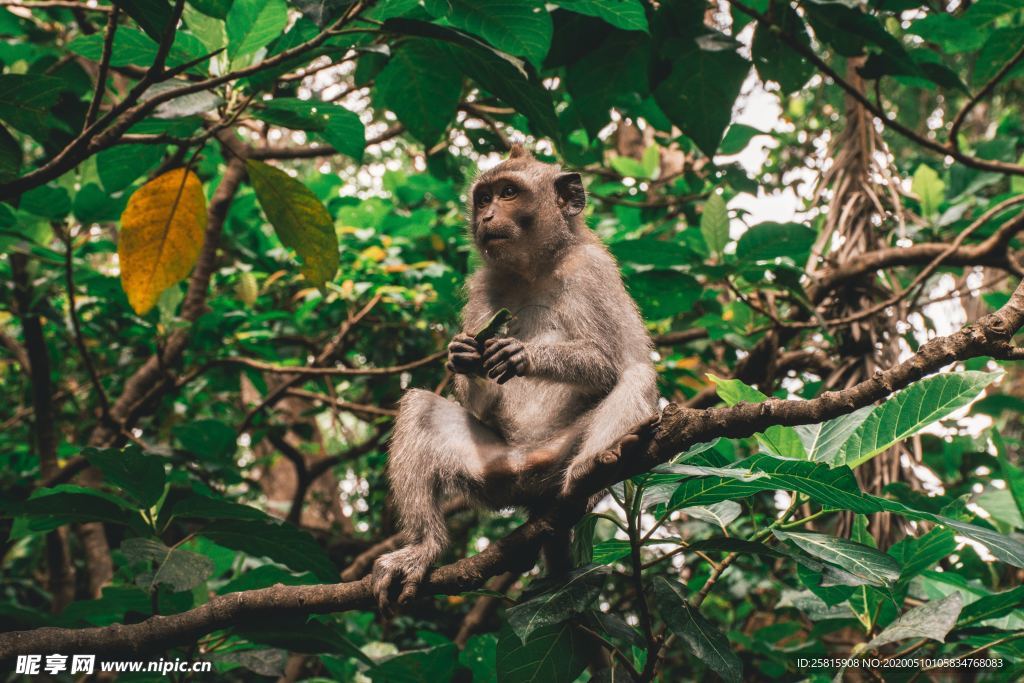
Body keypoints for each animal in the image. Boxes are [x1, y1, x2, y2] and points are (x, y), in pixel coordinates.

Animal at [372, 144, 659, 610]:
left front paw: (524, 354)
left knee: (637, 376)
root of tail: (531, 471)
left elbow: (613, 364)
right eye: (483, 198)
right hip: (494, 472)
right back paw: (423, 548)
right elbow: (478, 401)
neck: (535, 268)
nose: (487, 217)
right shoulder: (482, 285)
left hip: (559, 456)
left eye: (509, 193)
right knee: (419, 407)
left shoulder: (591, 269)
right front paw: (464, 355)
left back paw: (592, 467)